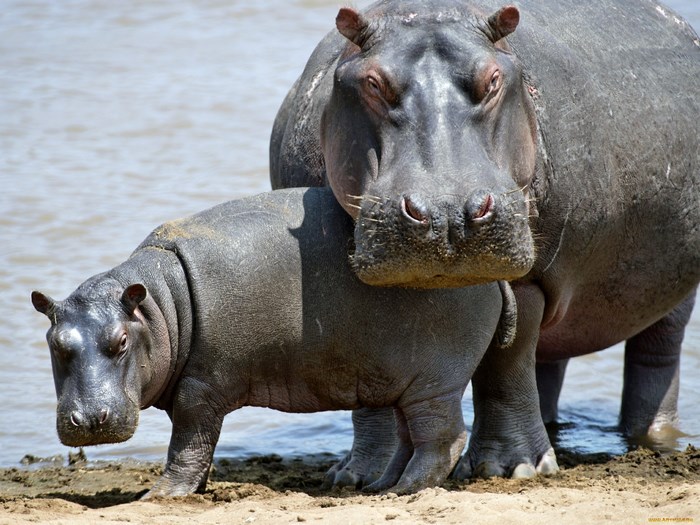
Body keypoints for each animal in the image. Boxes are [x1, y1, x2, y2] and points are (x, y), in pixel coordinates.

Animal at [31, 187, 516, 497]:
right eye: (55, 343)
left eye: (120, 342)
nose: (90, 420)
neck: (158, 308)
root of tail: (493, 276)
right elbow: (199, 447)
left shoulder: (200, 389)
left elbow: (187, 441)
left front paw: (160, 495)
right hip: (403, 380)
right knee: (409, 437)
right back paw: (384, 486)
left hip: (436, 381)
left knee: (442, 438)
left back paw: (405, 491)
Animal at [269, 0, 700, 486]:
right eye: (373, 82)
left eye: (493, 79)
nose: (448, 211)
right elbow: (368, 360)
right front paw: (358, 475)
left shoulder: (531, 279)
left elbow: (505, 364)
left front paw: (514, 468)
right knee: (548, 362)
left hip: (672, 288)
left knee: (658, 354)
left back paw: (652, 437)